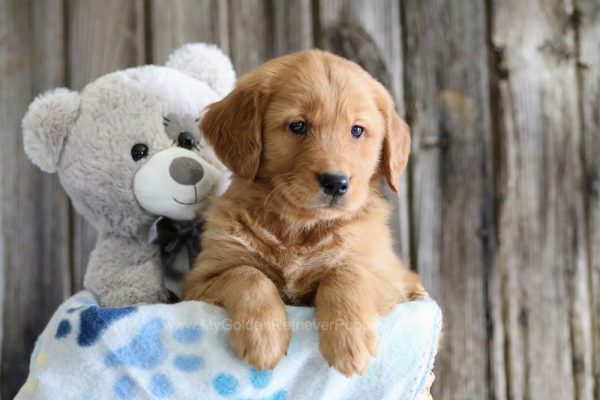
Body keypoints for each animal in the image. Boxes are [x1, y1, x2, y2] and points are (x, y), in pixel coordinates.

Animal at [185, 49, 424, 376]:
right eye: (298, 126)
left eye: (357, 130)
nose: (336, 182)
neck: (298, 227)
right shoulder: (197, 284)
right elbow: (246, 273)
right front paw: (264, 337)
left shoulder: (393, 279)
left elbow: (346, 271)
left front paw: (350, 340)